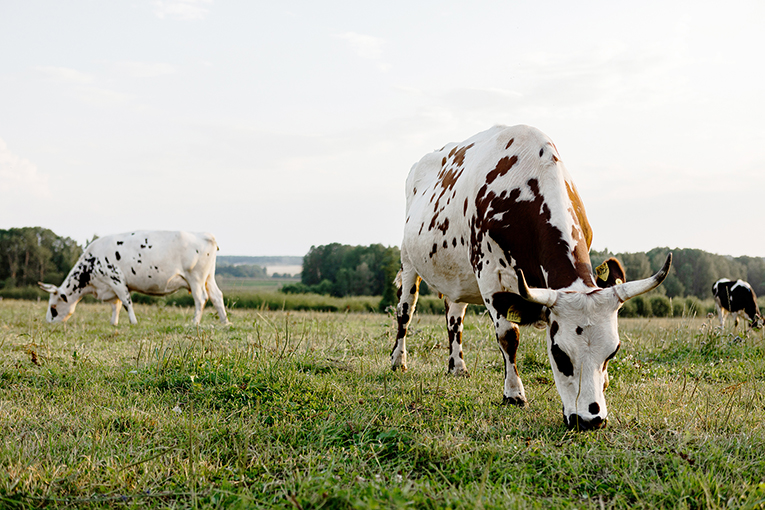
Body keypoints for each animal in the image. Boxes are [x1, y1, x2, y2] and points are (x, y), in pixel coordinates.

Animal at [38, 230, 228, 324]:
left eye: (53, 307)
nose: (48, 322)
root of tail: (205, 235)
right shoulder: (111, 286)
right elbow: (116, 305)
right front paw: (113, 323)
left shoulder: (116, 280)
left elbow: (126, 302)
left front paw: (133, 322)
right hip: (208, 277)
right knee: (217, 296)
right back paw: (225, 322)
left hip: (196, 278)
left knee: (201, 298)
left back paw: (194, 322)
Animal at [390, 124, 672, 430]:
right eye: (559, 354)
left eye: (613, 352)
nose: (591, 419)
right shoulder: (489, 275)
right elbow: (508, 336)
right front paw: (514, 394)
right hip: (408, 262)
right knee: (405, 312)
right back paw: (398, 361)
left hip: (457, 275)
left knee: (454, 317)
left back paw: (458, 367)